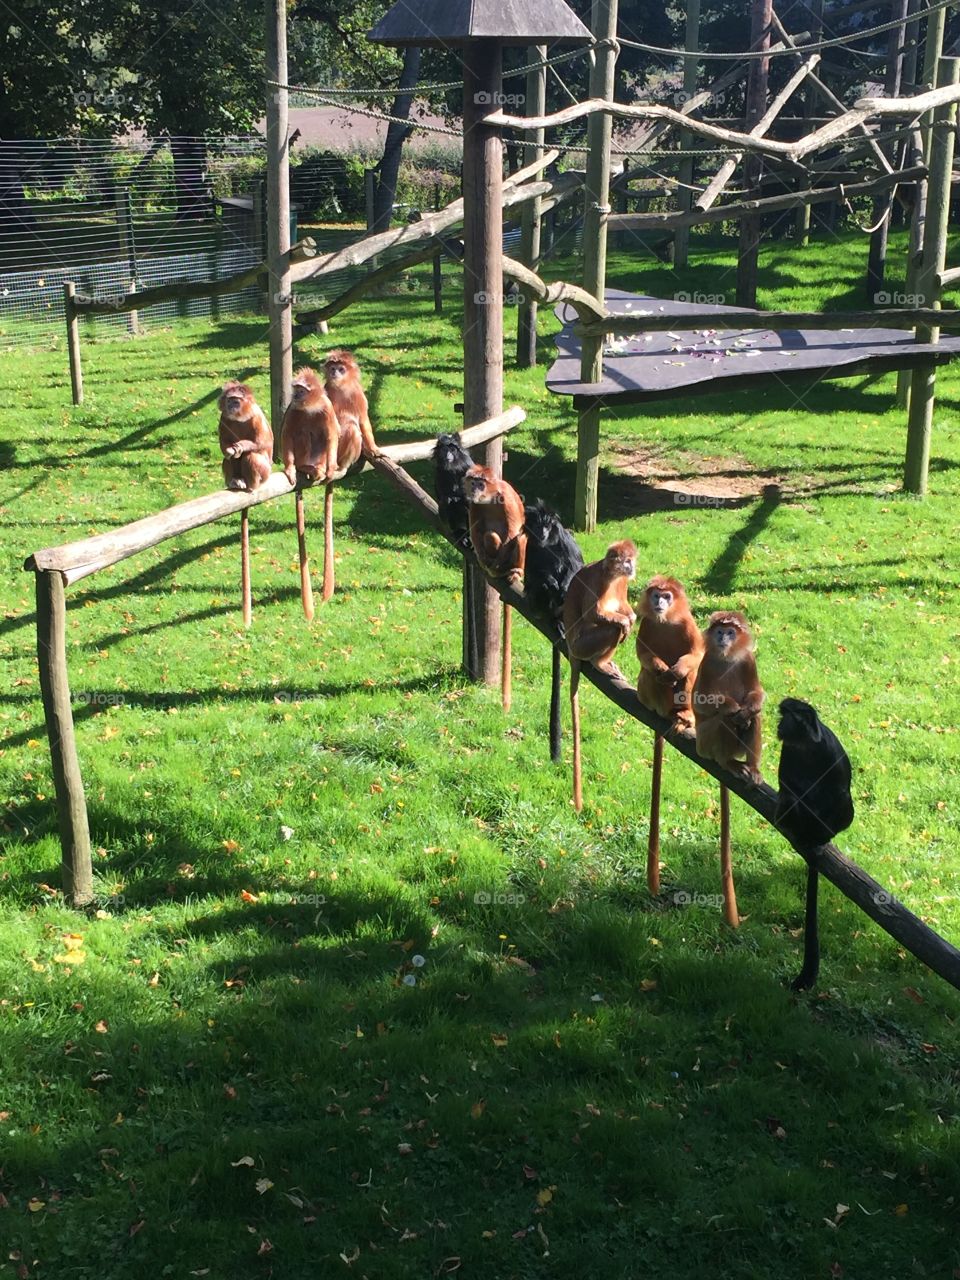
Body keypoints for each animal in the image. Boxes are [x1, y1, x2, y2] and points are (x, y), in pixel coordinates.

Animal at [562, 540, 637, 811]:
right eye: (626, 561)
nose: (632, 567)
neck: (612, 574)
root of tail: (571, 648)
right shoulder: (599, 580)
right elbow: (593, 615)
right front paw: (625, 622)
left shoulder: (622, 582)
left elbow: (626, 609)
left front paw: (632, 617)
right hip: (583, 645)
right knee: (612, 629)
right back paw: (600, 661)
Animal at [636, 575, 704, 739]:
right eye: (656, 596)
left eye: (667, 596)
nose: (660, 602)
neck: (665, 619)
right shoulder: (646, 622)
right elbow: (642, 654)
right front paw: (661, 668)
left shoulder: (687, 621)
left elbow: (697, 654)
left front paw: (676, 672)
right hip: (645, 698)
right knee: (650, 674)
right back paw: (668, 712)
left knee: (691, 671)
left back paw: (684, 714)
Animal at [693, 611, 764, 785]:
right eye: (719, 631)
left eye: (730, 632)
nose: (722, 638)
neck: (727, 658)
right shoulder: (707, 662)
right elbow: (699, 702)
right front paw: (731, 706)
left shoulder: (749, 659)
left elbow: (757, 692)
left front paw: (748, 709)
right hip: (704, 743)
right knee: (725, 719)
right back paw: (728, 762)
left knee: (756, 717)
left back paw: (753, 767)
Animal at [776, 698, 854, 991]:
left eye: (788, 716)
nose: (779, 724)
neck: (805, 745)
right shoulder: (789, 749)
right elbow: (786, 784)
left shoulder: (828, 748)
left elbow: (841, 791)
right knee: (789, 800)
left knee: (844, 805)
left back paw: (817, 838)